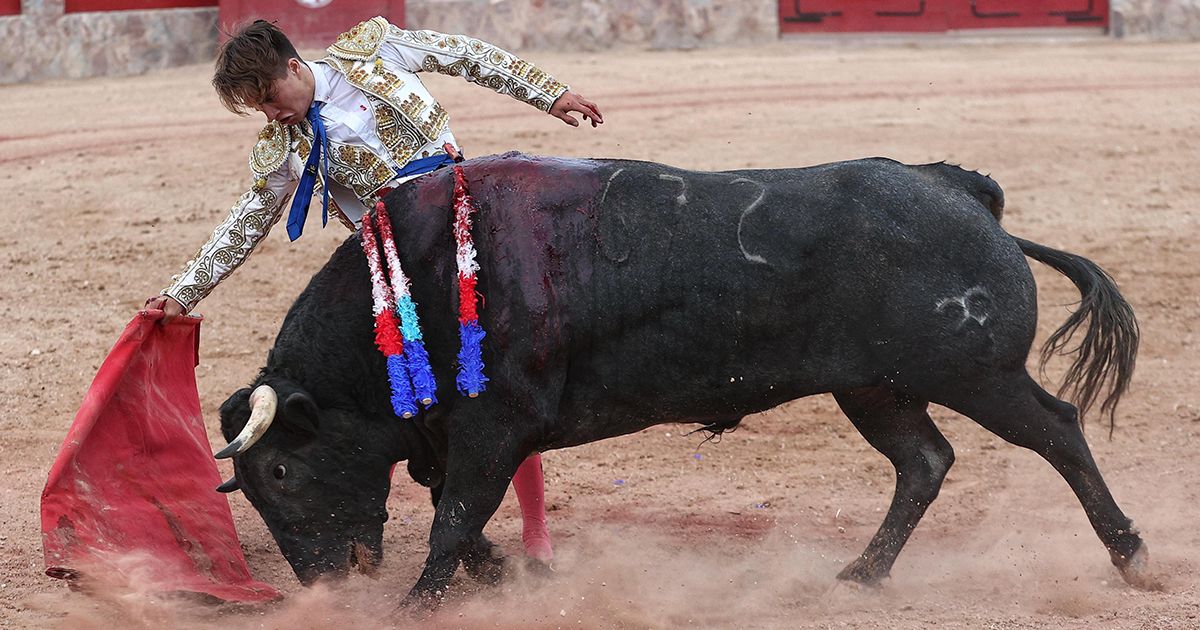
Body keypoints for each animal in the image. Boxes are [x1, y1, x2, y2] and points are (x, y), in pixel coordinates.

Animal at [213, 153, 1152, 603]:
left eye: (282, 471)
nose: (324, 584)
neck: (416, 279)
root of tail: (960, 189)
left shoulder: (494, 424)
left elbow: (452, 521)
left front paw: (418, 602)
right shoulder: (453, 437)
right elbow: (462, 519)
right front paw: (509, 579)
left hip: (979, 374)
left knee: (1059, 431)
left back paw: (1132, 556)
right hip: (874, 388)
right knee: (924, 462)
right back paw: (860, 574)